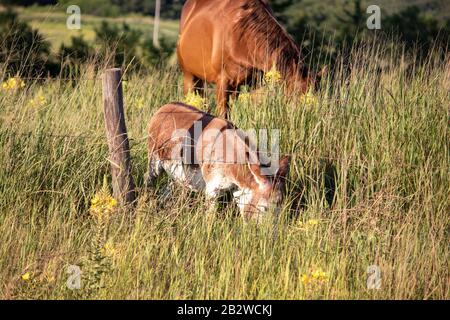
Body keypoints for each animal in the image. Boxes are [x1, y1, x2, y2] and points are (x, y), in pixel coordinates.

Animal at [146, 104, 290, 221]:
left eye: (281, 207)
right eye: (265, 208)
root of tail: (164, 107)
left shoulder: (237, 190)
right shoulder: (211, 191)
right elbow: (210, 217)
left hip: (178, 176)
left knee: (166, 190)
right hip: (155, 163)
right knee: (148, 180)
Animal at [176, 0, 324, 119]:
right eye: (296, 96)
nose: (307, 119)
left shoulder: (256, 84)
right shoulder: (223, 82)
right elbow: (224, 115)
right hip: (190, 76)